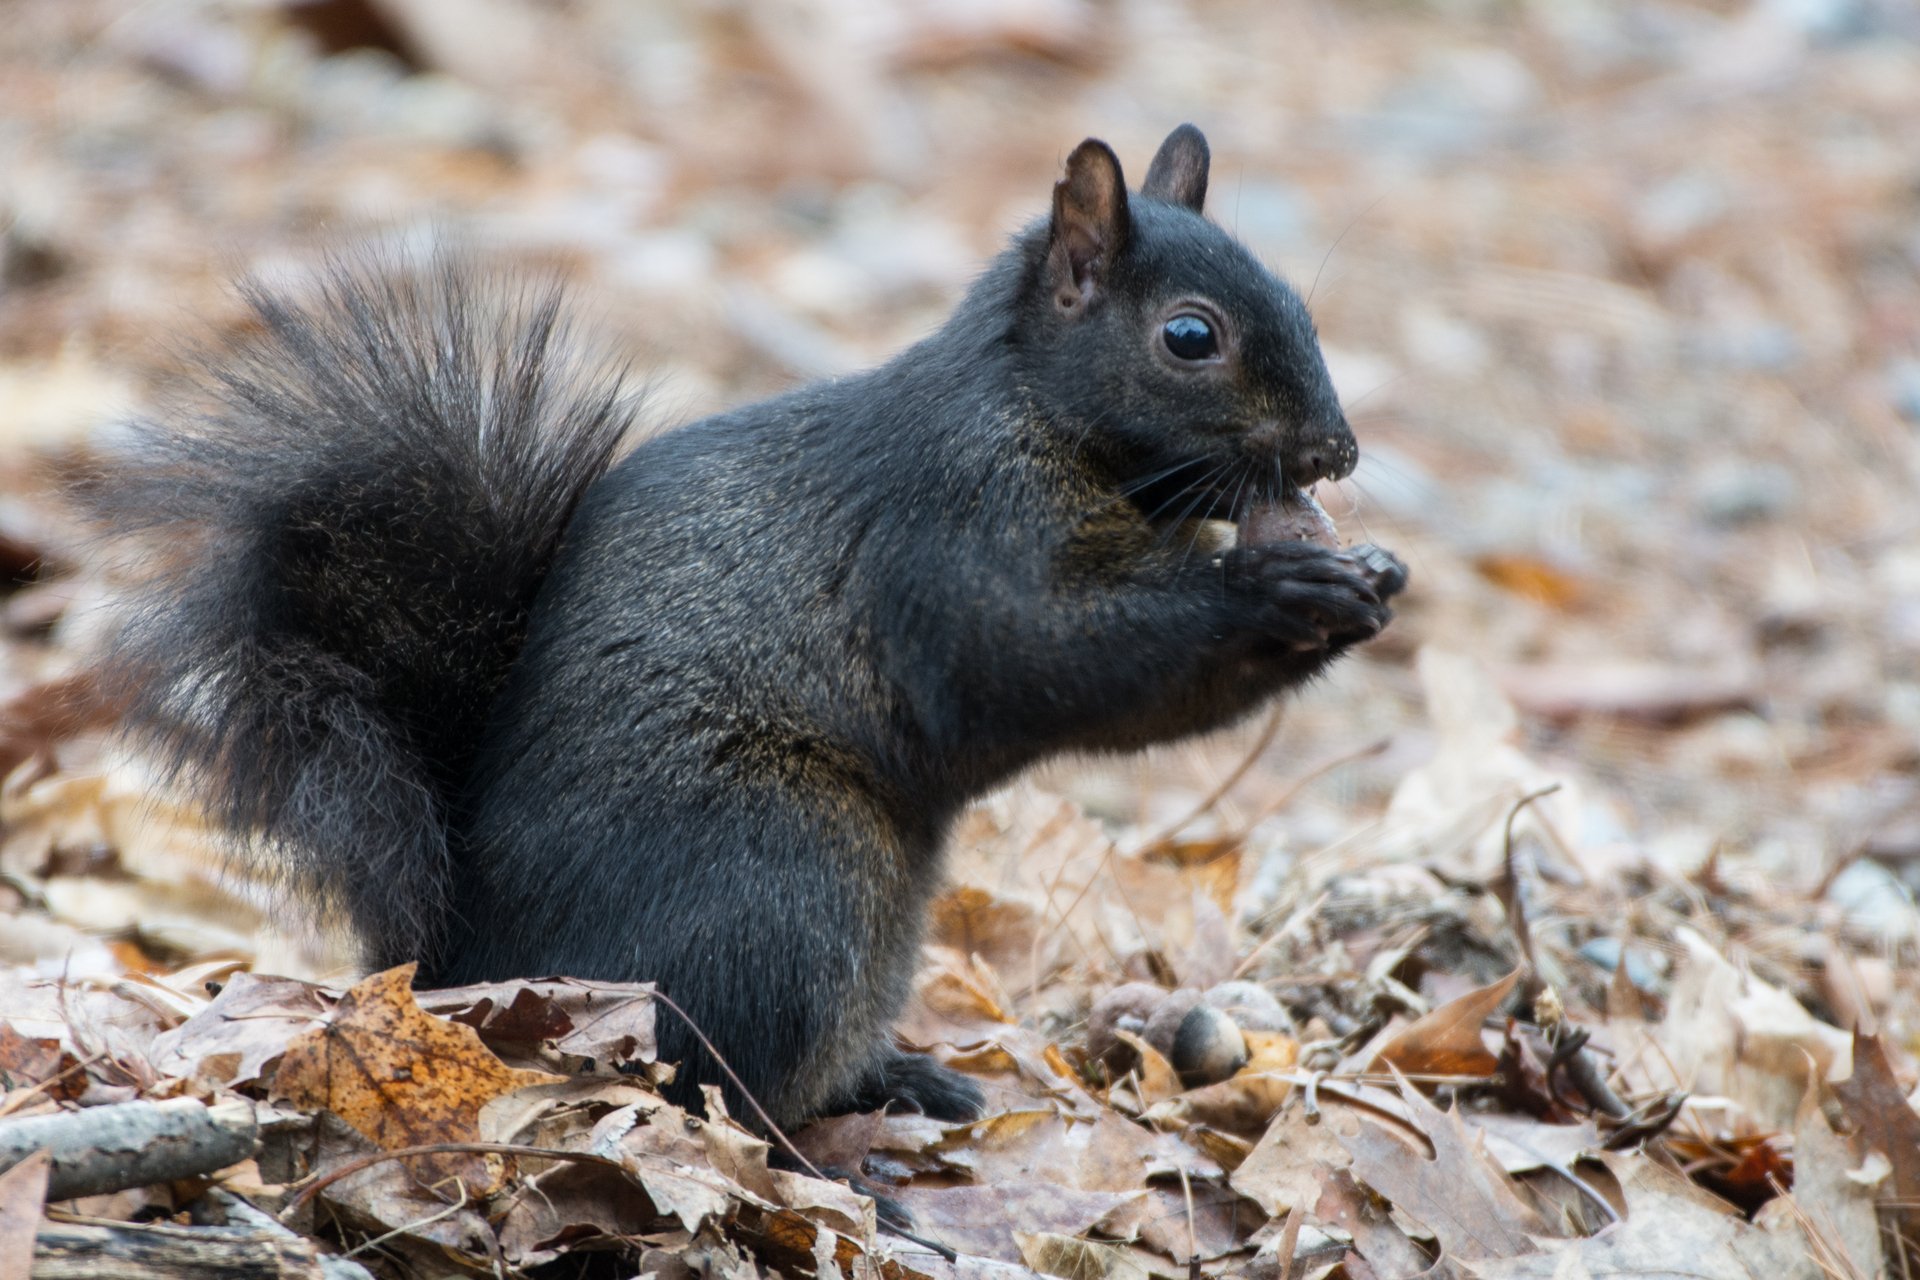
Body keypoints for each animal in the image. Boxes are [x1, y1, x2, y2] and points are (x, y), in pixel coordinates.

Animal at [93, 127, 1413, 1128]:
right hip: (783, 877)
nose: (1337, 452)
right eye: (1191, 335)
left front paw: (1373, 578)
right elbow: (1059, 659)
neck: (1034, 412)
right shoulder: (951, 539)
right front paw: (1279, 591)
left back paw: (903, 1076)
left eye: (1298, 302)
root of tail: (465, 962)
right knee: (709, 1077)